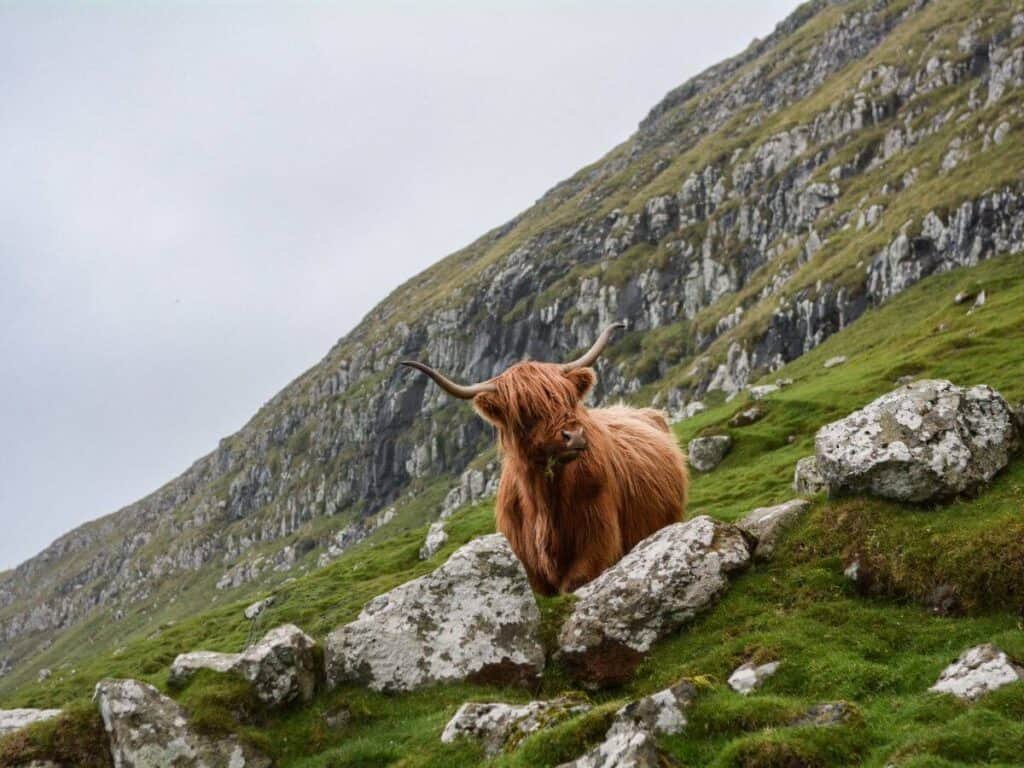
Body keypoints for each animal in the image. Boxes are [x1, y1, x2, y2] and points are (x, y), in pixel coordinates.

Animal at [399, 321, 688, 598]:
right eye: (525, 410)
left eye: (568, 398)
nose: (575, 436)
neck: (544, 502)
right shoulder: (528, 566)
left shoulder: (597, 545)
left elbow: (575, 582)